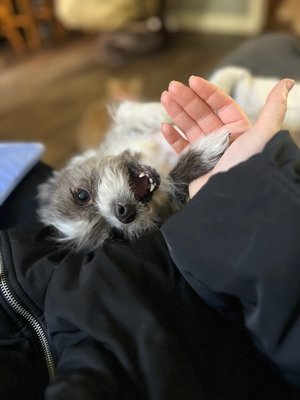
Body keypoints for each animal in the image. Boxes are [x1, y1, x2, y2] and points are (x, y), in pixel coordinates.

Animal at [38, 101, 230, 252]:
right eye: (114, 234)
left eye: (82, 195)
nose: (122, 215)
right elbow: (175, 181)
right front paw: (204, 154)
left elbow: (124, 114)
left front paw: (159, 111)